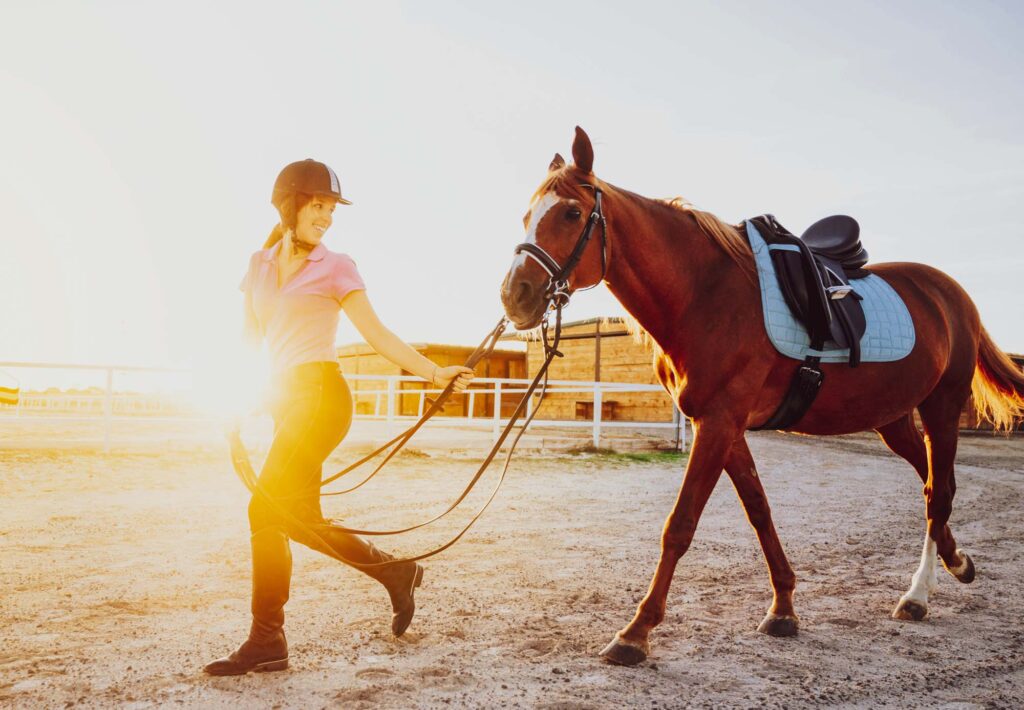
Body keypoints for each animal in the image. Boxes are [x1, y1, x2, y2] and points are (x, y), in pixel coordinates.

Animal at [499, 126, 1024, 663]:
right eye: (526, 216)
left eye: (571, 213)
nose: (514, 296)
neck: (704, 295)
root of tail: (952, 292)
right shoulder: (721, 426)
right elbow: (759, 510)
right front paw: (784, 608)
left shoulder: (718, 423)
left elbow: (680, 524)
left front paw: (636, 632)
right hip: (893, 419)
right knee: (932, 487)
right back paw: (955, 564)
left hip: (941, 407)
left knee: (939, 493)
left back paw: (918, 594)